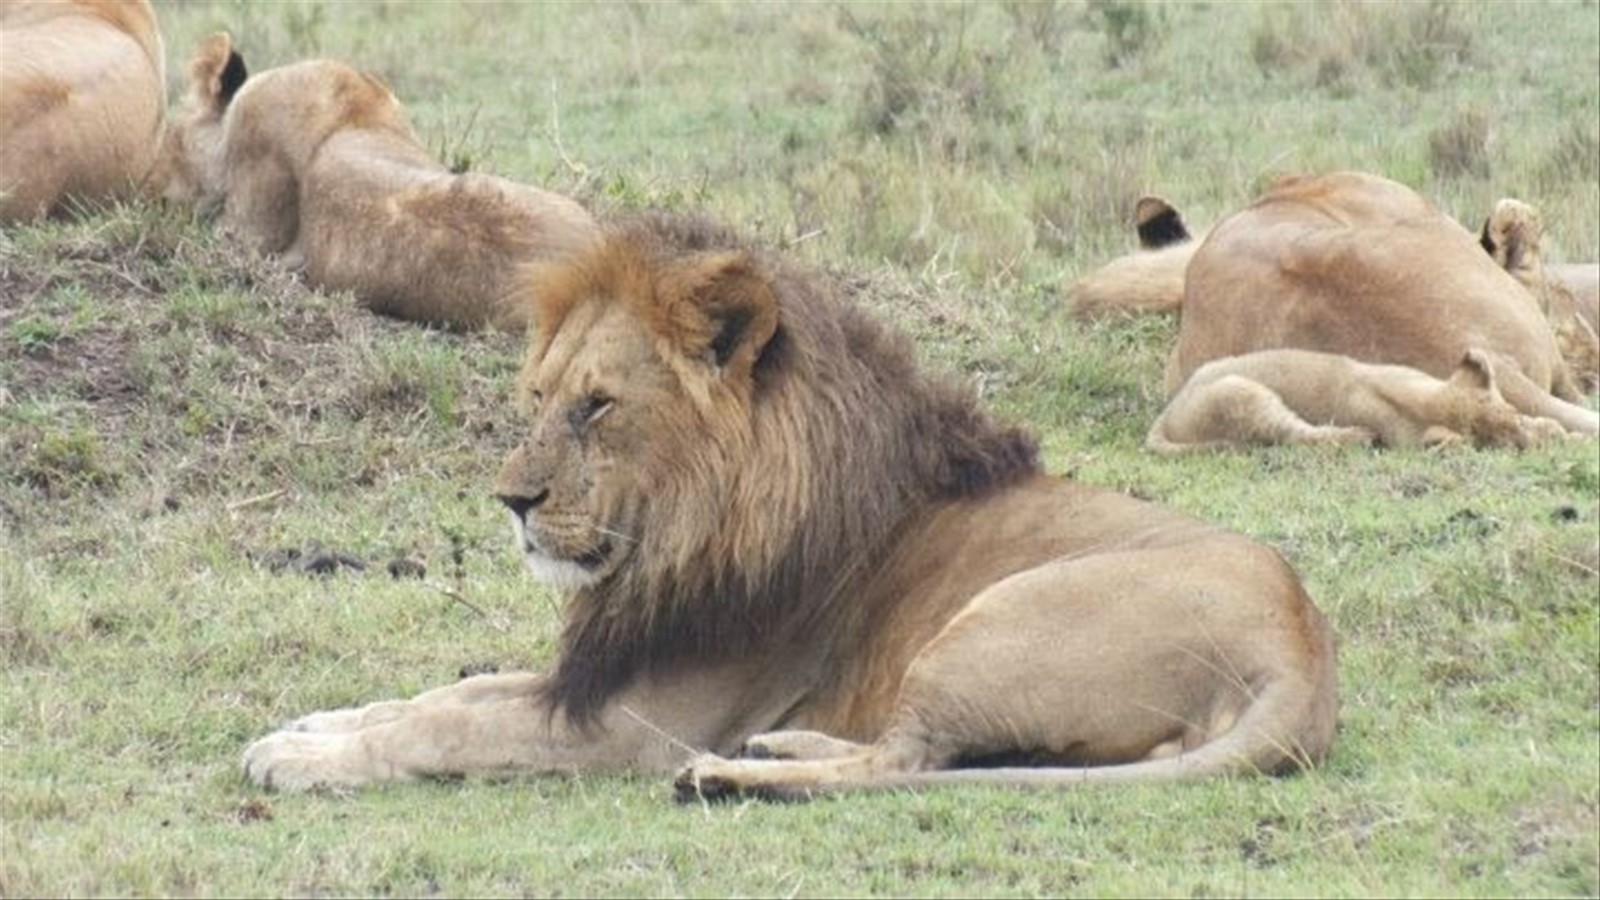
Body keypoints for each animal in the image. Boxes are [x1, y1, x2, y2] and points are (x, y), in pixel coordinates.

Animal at [241, 213, 1338, 799]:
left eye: (599, 405)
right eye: (540, 397)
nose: (511, 501)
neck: (669, 538)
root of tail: (1301, 657)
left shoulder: (634, 723)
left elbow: (446, 731)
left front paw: (299, 758)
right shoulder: (598, 671)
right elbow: (446, 695)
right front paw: (319, 720)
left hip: (993, 623)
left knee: (904, 763)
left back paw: (730, 775)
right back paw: (778, 746)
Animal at [1148, 347, 1569, 454]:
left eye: (1513, 414)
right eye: (1500, 446)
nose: (1532, 445)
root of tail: (1165, 416)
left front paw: (1554, 429)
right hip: (1241, 393)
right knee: (1296, 435)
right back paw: (1357, 437)